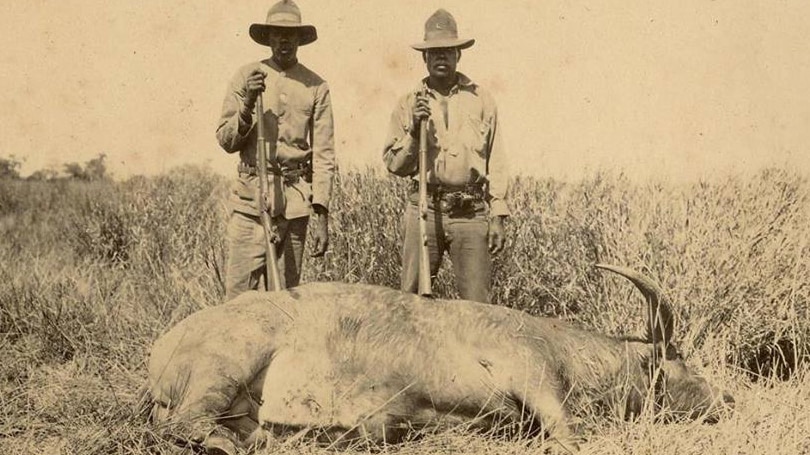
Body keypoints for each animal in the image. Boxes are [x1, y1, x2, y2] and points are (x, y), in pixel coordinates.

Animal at [145, 266, 732, 454]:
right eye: (681, 362)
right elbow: (569, 429)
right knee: (185, 423)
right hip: (226, 364)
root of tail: (161, 349)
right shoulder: (534, 371)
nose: (727, 397)